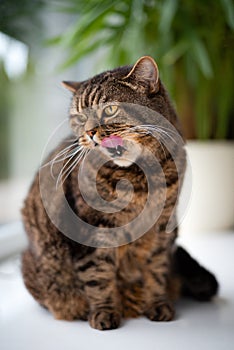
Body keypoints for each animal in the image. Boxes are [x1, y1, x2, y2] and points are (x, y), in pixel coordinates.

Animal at [21, 56, 218, 330]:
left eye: (110, 109)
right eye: (80, 118)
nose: (89, 133)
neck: (140, 179)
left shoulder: (162, 227)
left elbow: (156, 270)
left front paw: (157, 304)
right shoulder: (92, 228)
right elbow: (97, 274)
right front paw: (104, 312)